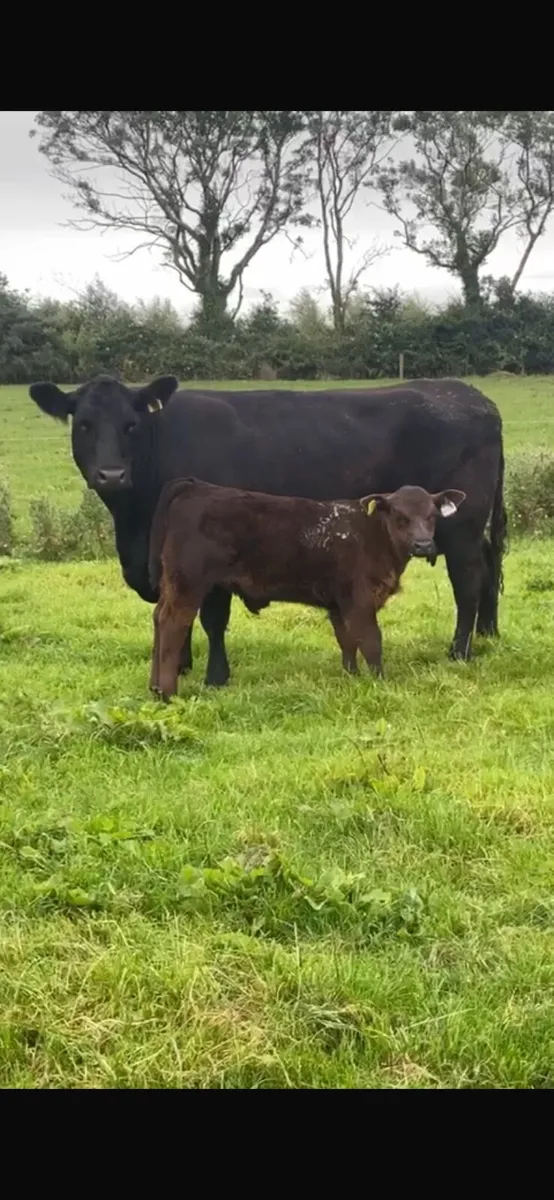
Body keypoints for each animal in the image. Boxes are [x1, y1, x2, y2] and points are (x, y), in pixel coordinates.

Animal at [148, 478, 467, 698]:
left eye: (432, 516)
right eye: (400, 517)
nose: (423, 545)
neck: (372, 536)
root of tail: (195, 486)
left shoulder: (338, 604)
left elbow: (347, 641)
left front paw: (352, 677)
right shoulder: (360, 600)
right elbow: (371, 641)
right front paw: (380, 681)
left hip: (173, 584)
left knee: (158, 618)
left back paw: (154, 687)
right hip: (188, 583)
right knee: (173, 623)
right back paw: (168, 692)